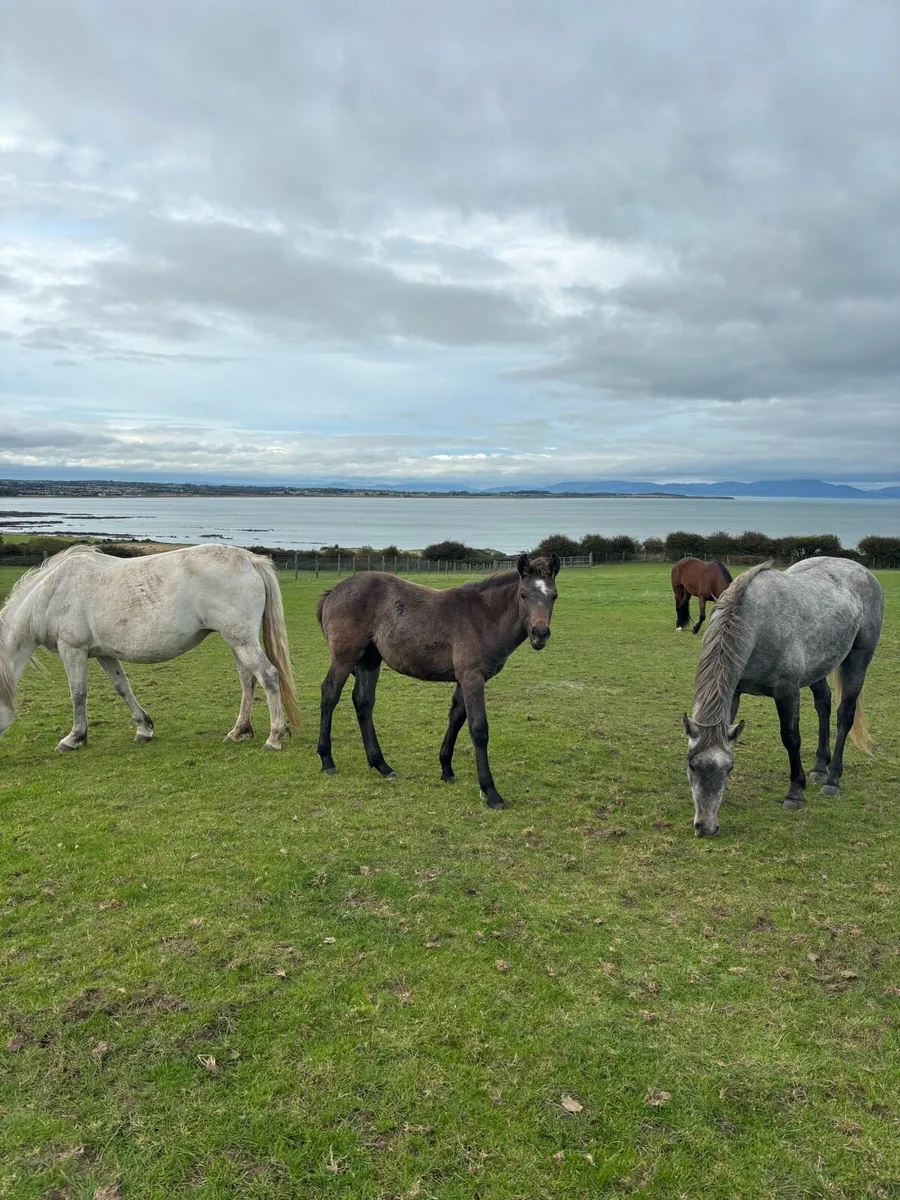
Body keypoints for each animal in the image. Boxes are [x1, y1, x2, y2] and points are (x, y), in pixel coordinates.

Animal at [0, 544, 301, 752]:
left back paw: (274, 737)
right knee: (248, 680)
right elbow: (123, 688)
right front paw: (144, 728)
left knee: (268, 676)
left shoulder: (72, 650)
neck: (52, 593)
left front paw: (74, 738)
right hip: (237, 641)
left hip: (241, 640)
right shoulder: (104, 654)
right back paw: (239, 732)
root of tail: (250, 560)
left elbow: (78, 693)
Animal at [316, 553, 560, 809]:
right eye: (523, 594)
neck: (484, 617)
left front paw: (446, 769)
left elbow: (456, 718)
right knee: (329, 694)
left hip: (369, 659)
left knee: (363, 702)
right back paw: (327, 759)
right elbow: (478, 729)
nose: (540, 634)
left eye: (554, 595)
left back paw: (381, 765)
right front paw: (491, 792)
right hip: (345, 657)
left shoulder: (463, 678)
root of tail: (333, 592)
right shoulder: (473, 676)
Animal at [682, 558, 883, 837]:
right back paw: (819, 767)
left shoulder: (787, 691)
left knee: (845, 715)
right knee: (823, 704)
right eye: (692, 765)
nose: (706, 827)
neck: (757, 625)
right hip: (818, 667)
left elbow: (791, 738)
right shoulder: (734, 692)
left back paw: (832, 779)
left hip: (859, 659)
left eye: (729, 767)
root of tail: (862, 570)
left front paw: (795, 793)